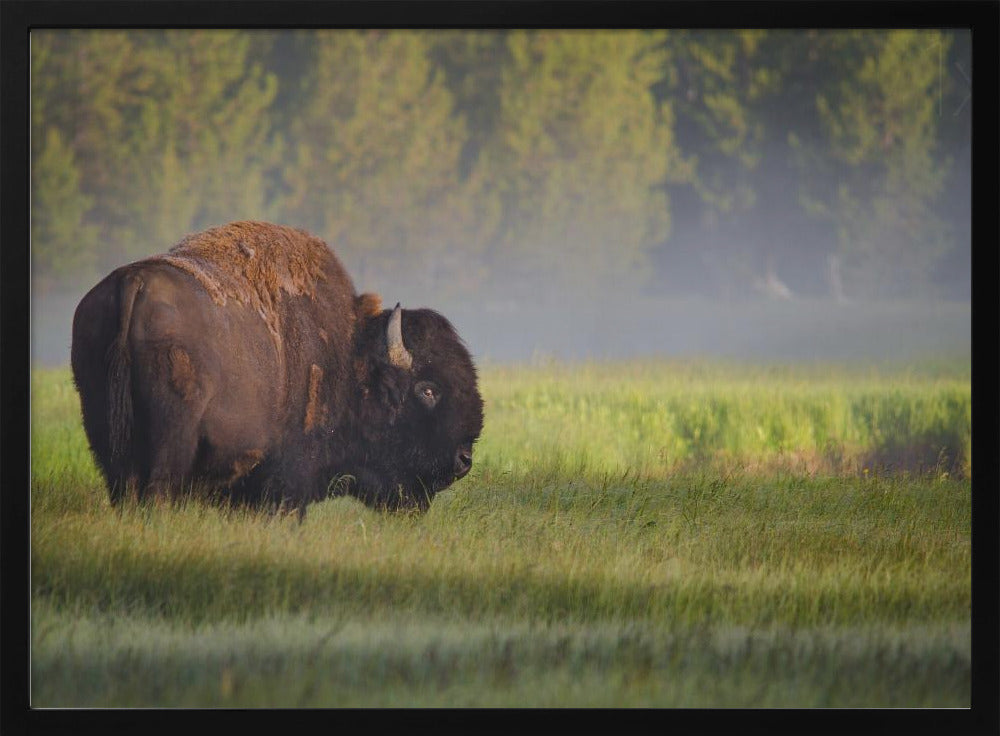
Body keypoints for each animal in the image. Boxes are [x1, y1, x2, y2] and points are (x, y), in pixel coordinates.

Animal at [71, 221, 484, 513]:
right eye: (427, 389)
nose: (464, 460)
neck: (347, 352)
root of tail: (133, 282)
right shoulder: (288, 479)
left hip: (106, 434)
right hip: (171, 440)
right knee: (157, 491)